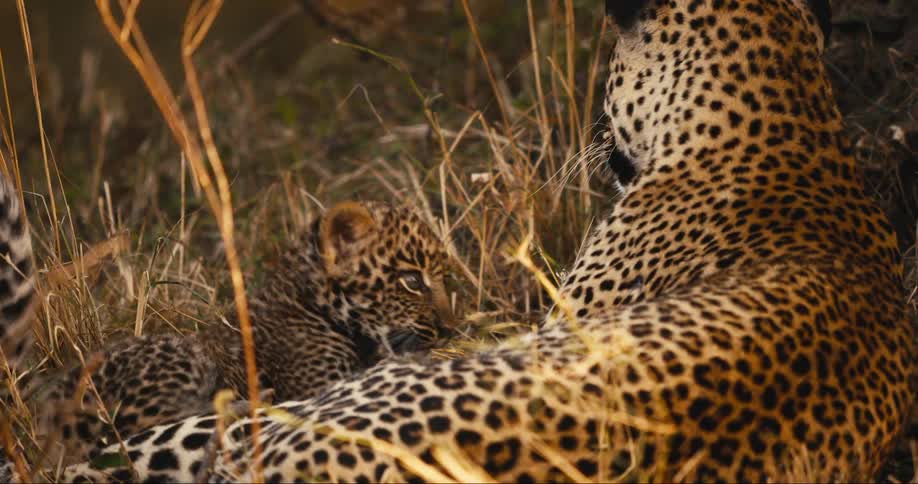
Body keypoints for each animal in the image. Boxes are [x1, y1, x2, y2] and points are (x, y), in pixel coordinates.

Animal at [30, 200, 455, 467]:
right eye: (412, 281)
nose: (450, 328)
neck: (307, 298)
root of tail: (47, 410)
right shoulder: (318, 381)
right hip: (181, 361)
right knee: (130, 433)